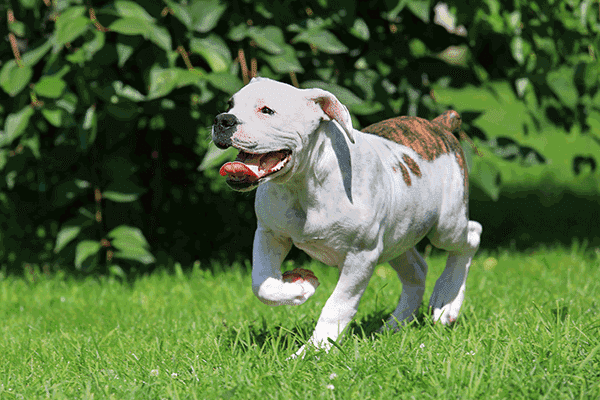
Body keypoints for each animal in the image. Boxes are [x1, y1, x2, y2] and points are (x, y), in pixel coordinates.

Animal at [212, 78, 482, 356]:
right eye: (230, 105)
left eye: (267, 110)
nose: (223, 120)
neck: (303, 184)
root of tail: (439, 125)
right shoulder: (269, 234)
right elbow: (262, 285)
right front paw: (300, 287)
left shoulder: (360, 256)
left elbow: (338, 304)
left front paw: (315, 349)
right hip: (399, 235)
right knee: (417, 271)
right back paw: (395, 326)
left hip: (446, 224)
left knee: (471, 236)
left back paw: (447, 301)